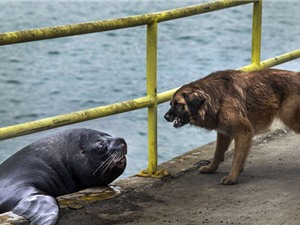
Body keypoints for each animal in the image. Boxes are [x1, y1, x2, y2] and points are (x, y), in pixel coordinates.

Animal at [164, 68, 300, 185]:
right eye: (171, 104)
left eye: (178, 104)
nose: (165, 117)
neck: (215, 97)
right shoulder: (223, 132)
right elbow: (218, 153)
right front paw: (211, 168)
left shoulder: (243, 131)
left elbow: (236, 158)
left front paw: (232, 177)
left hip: (289, 117)